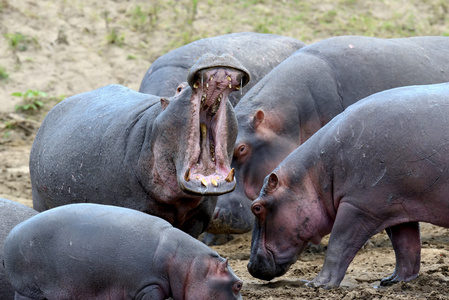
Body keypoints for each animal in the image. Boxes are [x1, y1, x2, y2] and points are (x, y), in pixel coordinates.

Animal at [3, 203, 243, 298]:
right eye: (239, 285)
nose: (240, 283)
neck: (190, 265)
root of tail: (9, 237)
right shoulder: (148, 286)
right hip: (29, 291)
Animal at [247, 82, 448, 288]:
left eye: (256, 207)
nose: (249, 266)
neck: (314, 173)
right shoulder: (395, 205)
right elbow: (406, 246)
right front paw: (392, 281)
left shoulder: (358, 206)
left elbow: (339, 244)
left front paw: (317, 284)